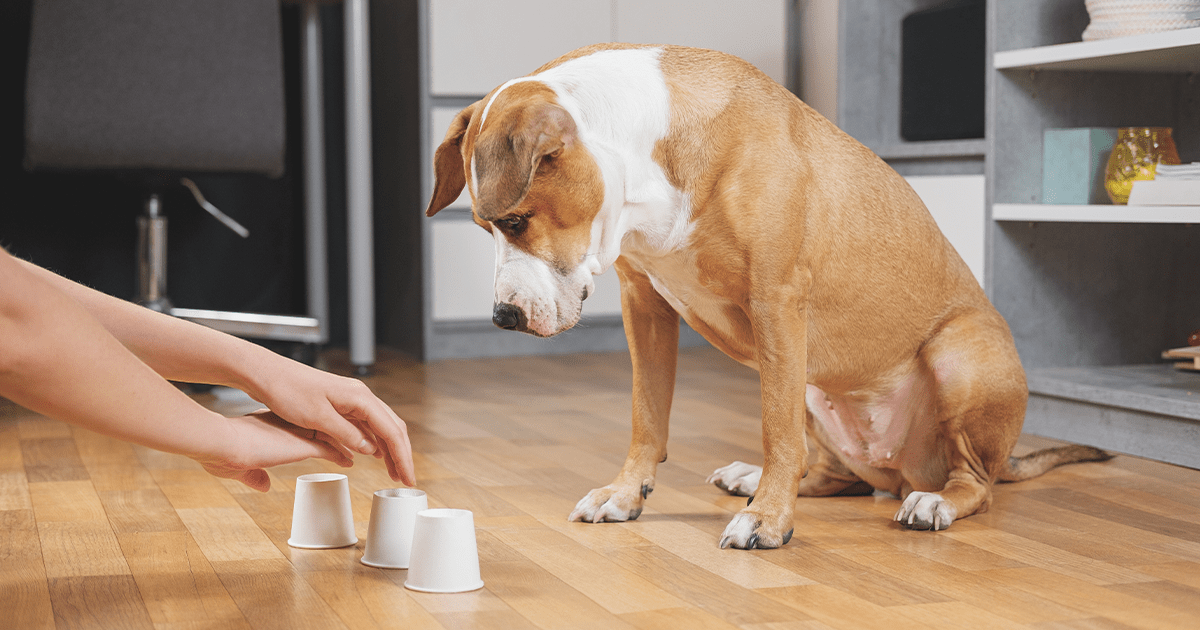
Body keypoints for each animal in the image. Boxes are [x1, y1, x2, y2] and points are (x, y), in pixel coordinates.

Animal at [427, 44, 1108, 547]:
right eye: (485, 228)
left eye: (515, 221)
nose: (502, 316)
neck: (650, 151)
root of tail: (904, 471)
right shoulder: (643, 304)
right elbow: (647, 415)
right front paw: (624, 494)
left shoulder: (776, 303)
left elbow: (775, 429)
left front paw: (768, 521)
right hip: (817, 384)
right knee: (833, 473)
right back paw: (751, 479)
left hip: (960, 356)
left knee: (974, 484)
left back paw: (931, 503)